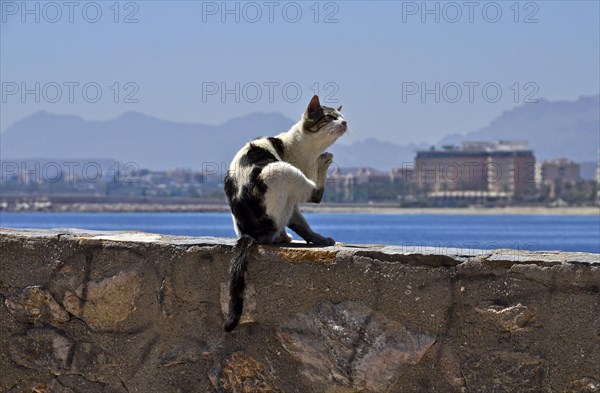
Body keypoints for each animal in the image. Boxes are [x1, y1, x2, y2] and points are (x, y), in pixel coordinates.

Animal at [223, 95, 346, 330]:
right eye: (330, 117)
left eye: (342, 116)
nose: (345, 122)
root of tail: (250, 233)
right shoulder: (294, 186)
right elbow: (303, 218)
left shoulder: (292, 204)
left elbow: (299, 222)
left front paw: (309, 238)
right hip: (280, 170)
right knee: (315, 194)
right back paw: (324, 162)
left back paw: (282, 236)